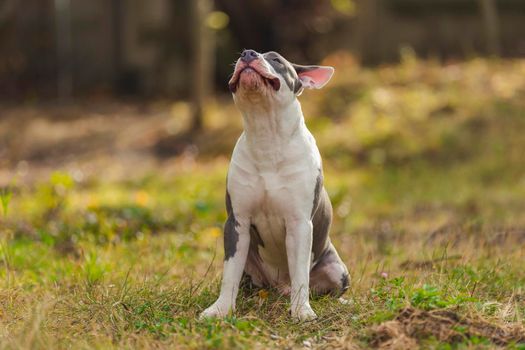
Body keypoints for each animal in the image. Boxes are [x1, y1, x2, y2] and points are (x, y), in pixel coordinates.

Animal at [201, 50, 348, 322]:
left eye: (276, 60)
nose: (247, 53)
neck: (266, 136)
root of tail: (279, 287)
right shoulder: (237, 222)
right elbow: (229, 274)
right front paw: (220, 309)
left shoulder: (299, 224)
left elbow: (300, 274)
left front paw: (301, 312)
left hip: (336, 269)